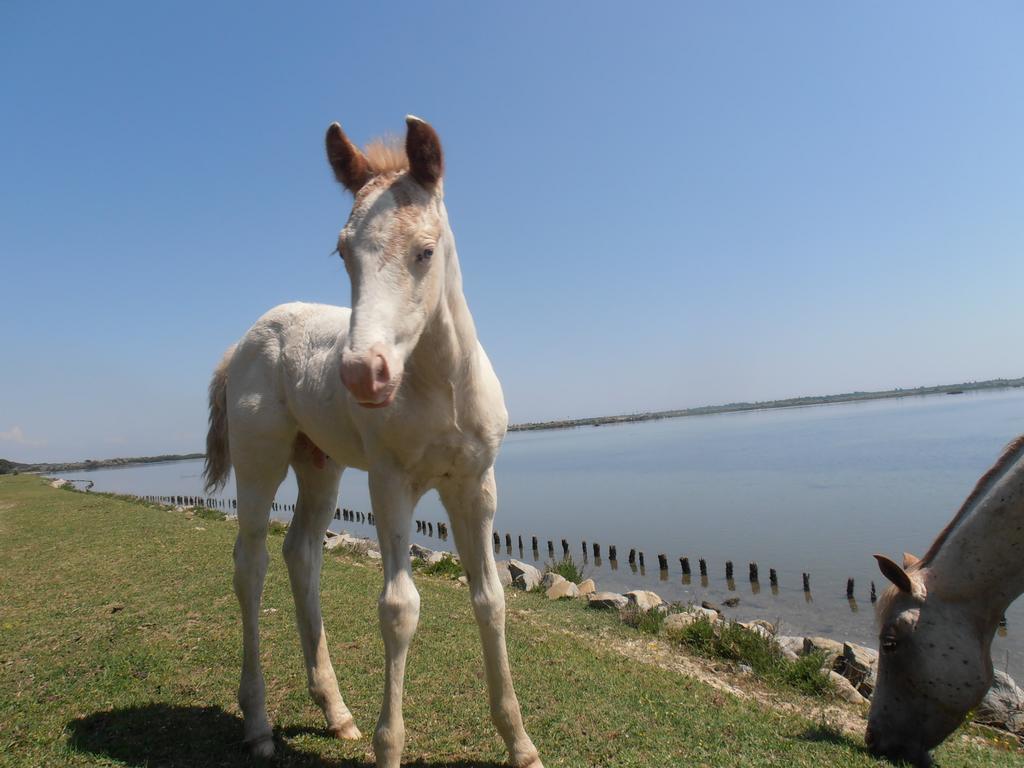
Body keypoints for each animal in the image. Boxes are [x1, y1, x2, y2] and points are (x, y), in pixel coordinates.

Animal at [202, 115, 548, 768]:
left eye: (426, 250)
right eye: (343, 251)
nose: (364, 374)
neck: (439, 388)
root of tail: (244, 341)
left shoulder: (474, 483)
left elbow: (490, 599)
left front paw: (521, 744)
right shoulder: (391, 483)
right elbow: (398, 608)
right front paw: (391, 746)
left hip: (320, 465)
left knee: (302, 553)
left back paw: (335, 711)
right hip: (261, 462)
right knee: (251, 564)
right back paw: (257, 723)